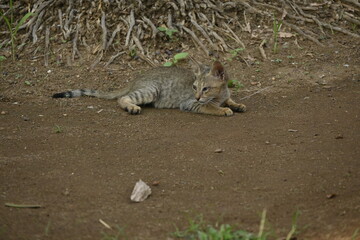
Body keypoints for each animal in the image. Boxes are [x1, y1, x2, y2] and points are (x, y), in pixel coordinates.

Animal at [52, 60, 246, 116]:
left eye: (205, 88)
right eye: (194, 87)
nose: (198, 95)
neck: (218, 95)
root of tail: (136, 78)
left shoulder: (223, 94)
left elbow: (229, 99)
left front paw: (236, 104)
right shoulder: (189, 103)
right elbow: (210, 107)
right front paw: (223, 110)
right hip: (151, 90)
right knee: (122, 98)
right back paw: (131, 107)